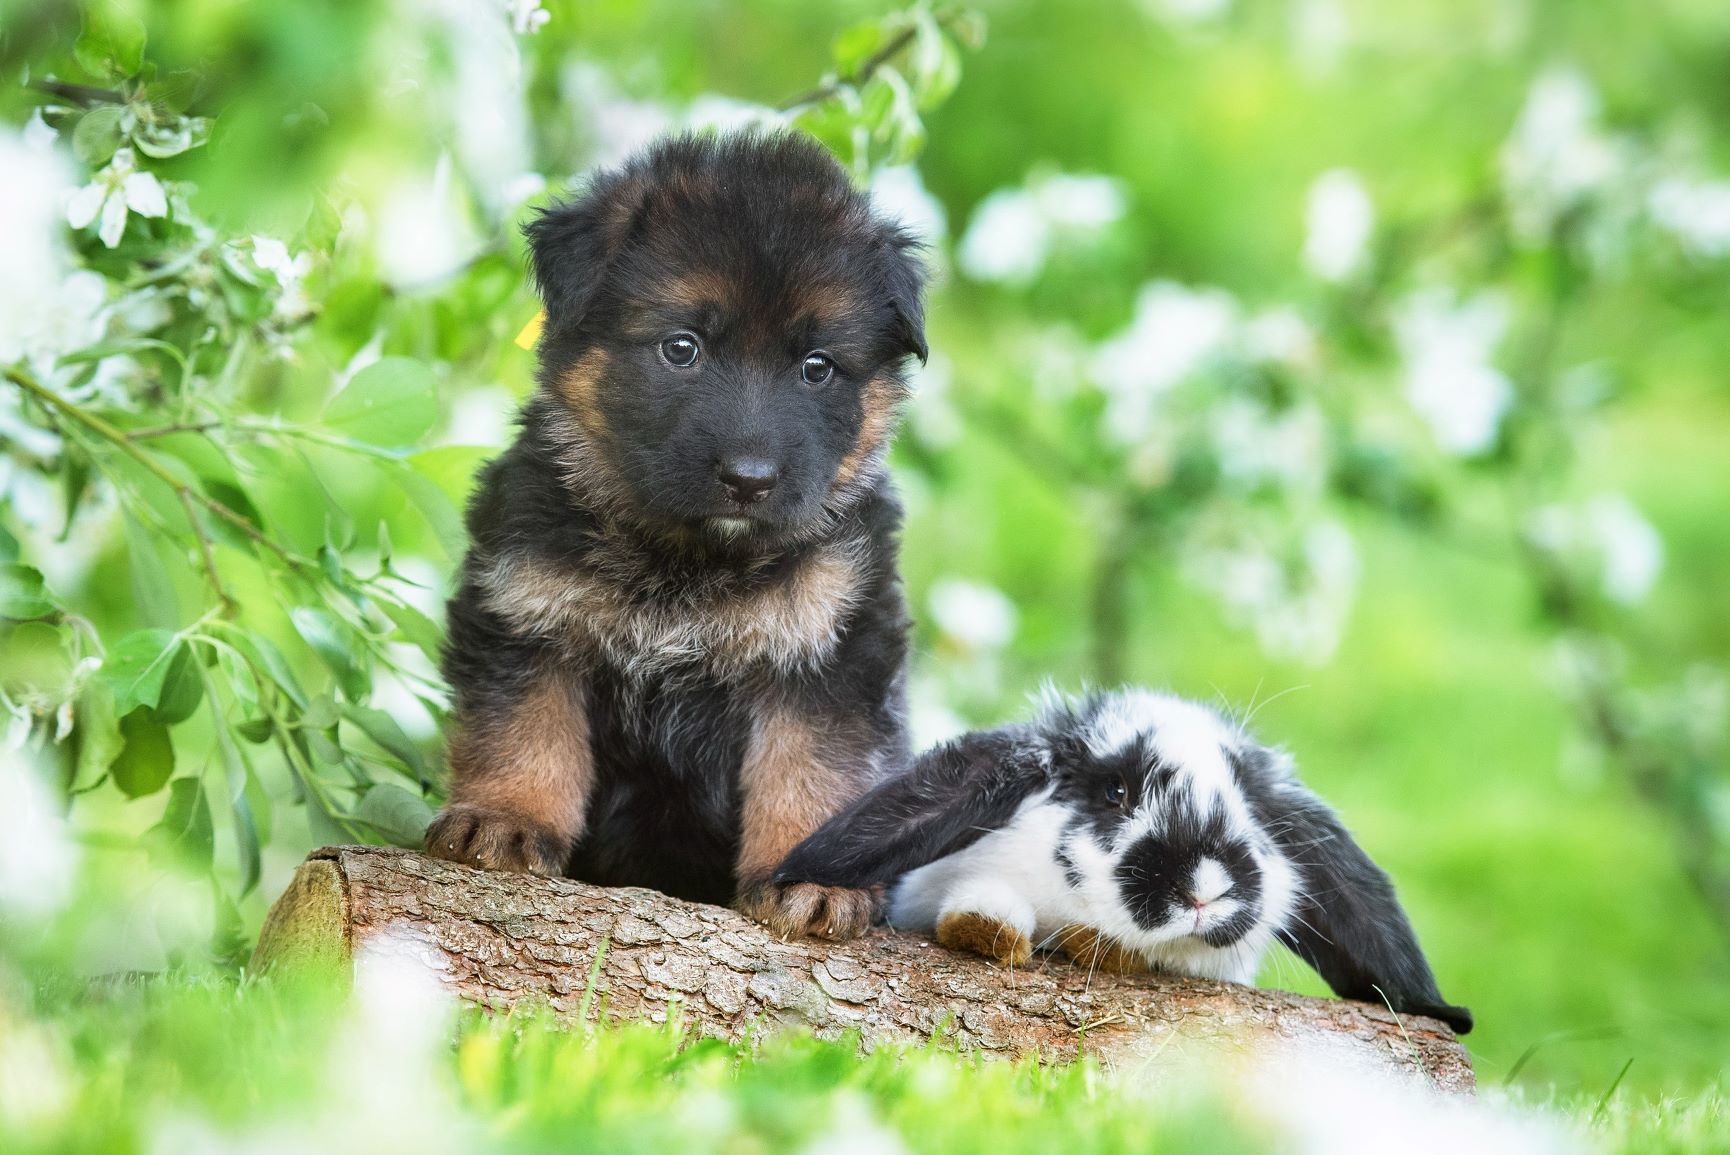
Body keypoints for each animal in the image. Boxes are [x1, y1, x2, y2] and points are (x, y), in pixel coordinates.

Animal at [423, 130, 927, 940]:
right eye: (681, 348)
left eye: (817, 366)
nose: (749, 478)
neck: (686, 561)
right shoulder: (523, 612)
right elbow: (523, 727)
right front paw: (504, 818)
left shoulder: (833, 647)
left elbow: (814, 768)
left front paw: (814, 882)